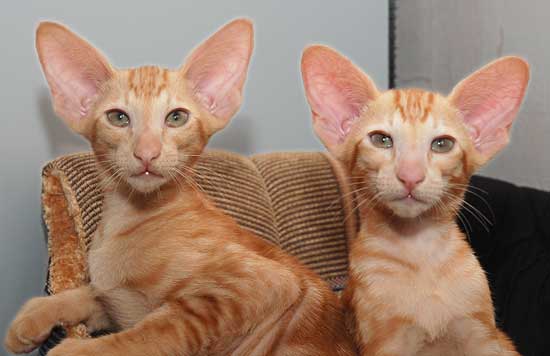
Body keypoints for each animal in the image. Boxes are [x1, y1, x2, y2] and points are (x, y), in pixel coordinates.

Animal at [5, 21, 354, 356]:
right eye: (118, 118)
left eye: (176, 117)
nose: (147, 153)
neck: (130, 217)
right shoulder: (114, 304)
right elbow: (88, 295)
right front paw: (33, 316)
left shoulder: (261, 284)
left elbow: (149, 334)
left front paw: (75, 349)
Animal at [302, 46, 532, 354]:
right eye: (381, 140)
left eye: (442, 144)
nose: (410, 176)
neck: (420, 254)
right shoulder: (386, 343)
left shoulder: (483, 336)